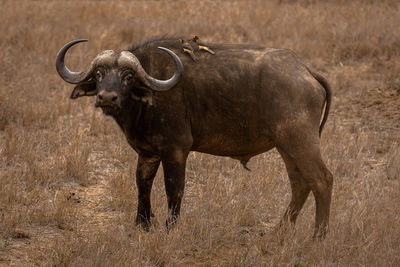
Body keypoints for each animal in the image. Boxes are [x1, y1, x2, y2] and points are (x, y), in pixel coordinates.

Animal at [55, 36, 332, 239]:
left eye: (128, 76)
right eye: (99, 74)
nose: (107, 97)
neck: (148, 95)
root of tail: (305, 71)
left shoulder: (176, 150)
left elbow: (174, 188)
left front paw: (170, 229)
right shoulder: (148, 153)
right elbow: (142, 184)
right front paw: (142, 225)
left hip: (300, 141)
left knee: (322, 180)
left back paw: (317, 237)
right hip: (287, 147)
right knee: (300, 183)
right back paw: (280, 230)